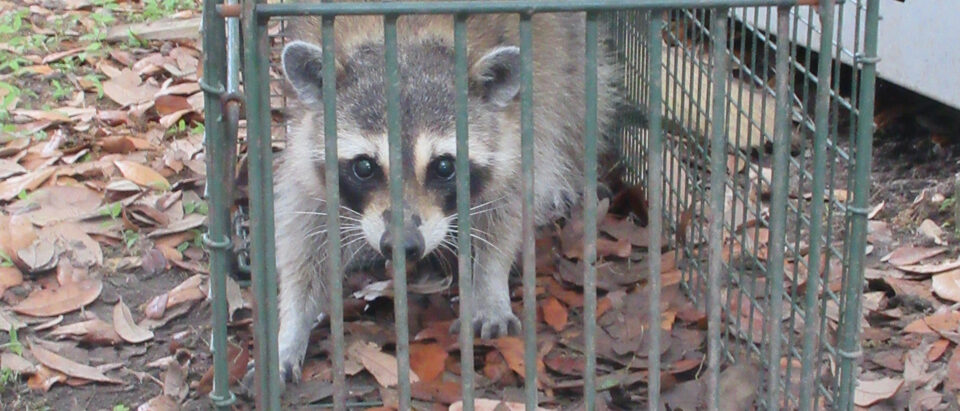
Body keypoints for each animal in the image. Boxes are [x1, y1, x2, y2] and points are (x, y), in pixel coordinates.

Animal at [258, 2, 622, 388]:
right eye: (364, 167)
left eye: (444, 166)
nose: (401, 244)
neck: (407, 39)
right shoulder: (310, 148)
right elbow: (305, 234)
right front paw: (292, 323)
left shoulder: (516, 128)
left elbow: (506, 211)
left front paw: (489, 283)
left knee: (577, 104)